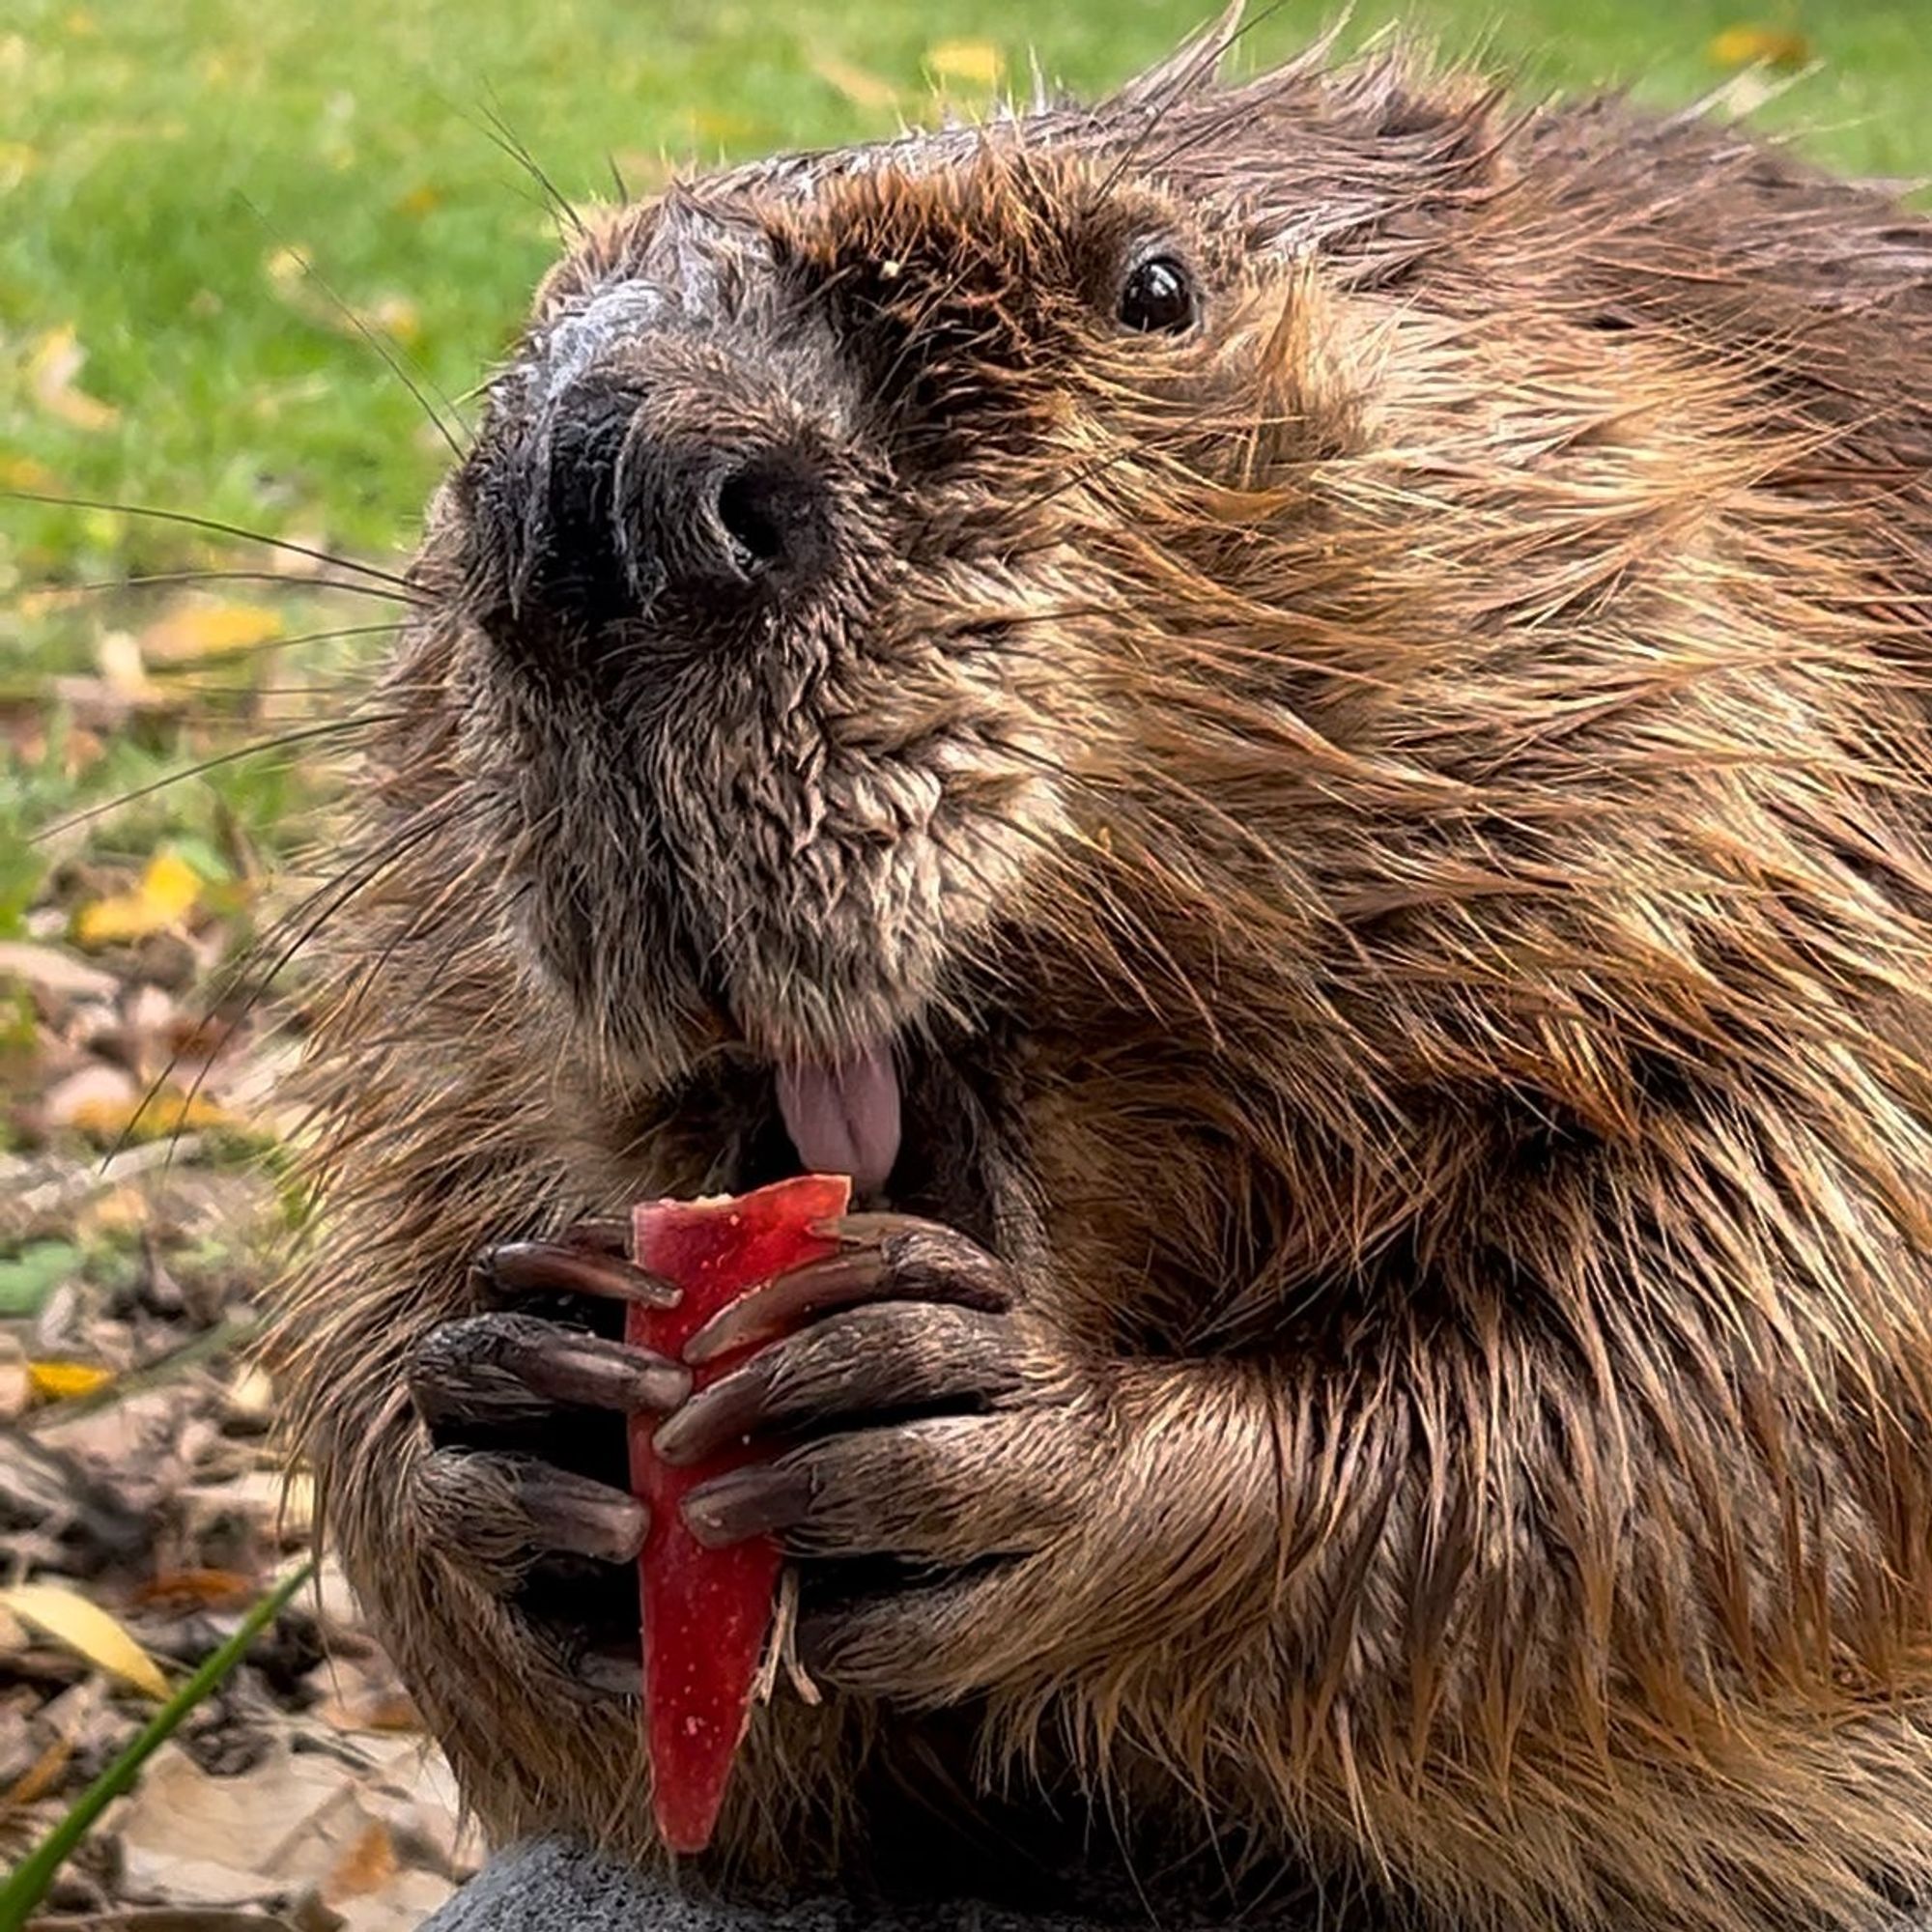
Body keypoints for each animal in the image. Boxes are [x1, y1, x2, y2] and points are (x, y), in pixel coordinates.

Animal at [280, 14, 1932, 1932]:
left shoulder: (1805, 791)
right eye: (538, 316)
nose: (601, 485)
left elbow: (1745, 1361)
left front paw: (987, 1426)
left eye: (1157, 287)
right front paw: (510, 1427)